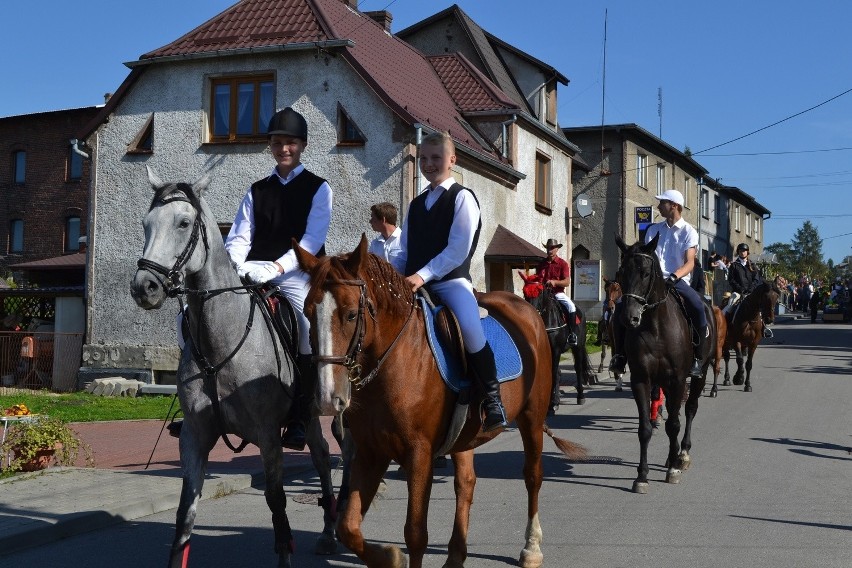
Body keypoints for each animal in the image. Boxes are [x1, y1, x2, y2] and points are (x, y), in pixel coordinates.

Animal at [131, 169, 338, 568]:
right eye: (146, 224)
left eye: (183, 223)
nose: (144, 287)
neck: (220, 342)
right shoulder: (195, 436)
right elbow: (185, 514)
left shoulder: (269, 436)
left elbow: (277, 503)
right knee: (321, 455)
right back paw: (327, 533)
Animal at [296, 237, 584, 568]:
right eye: (307, 312)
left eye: (351, 314)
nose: (327, 398)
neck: (395, 359)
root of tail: (527, 312)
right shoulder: (371, 452)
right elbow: (349, 527)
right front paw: (390, 557)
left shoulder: (419, 454)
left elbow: (415, 534)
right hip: (466, 435)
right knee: (466, 484)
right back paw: (456, 555)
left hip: (532, 418)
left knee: (533, 476)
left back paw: (532, 547)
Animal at [616, 235, 716, 492]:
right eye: (621, 273)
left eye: (645, 273)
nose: (629, 317)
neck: (656, 327)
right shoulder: (641, 379)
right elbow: (645, 428)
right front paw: (642, 476)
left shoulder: (678, 379)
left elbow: (674, 424)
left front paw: (673, 469)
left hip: (699, 375)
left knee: (689, 410)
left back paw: (682, 455)